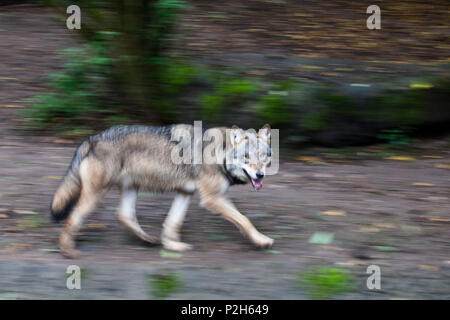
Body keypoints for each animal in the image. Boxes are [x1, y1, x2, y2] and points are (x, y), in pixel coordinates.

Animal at [50, 122, 274, 258]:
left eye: (263, 156)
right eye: (247, 157)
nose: (260, 175)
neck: (220, 154)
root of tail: (92, 139)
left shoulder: (186, 193)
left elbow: (173, 222)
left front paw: (172, 246)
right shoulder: (212, 198)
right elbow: (245, 220)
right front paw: (261, 240)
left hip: (131, 188)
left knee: (124, 215)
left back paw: (149, 240)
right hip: (96, 195)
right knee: (73, 217)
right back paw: (68, 252)